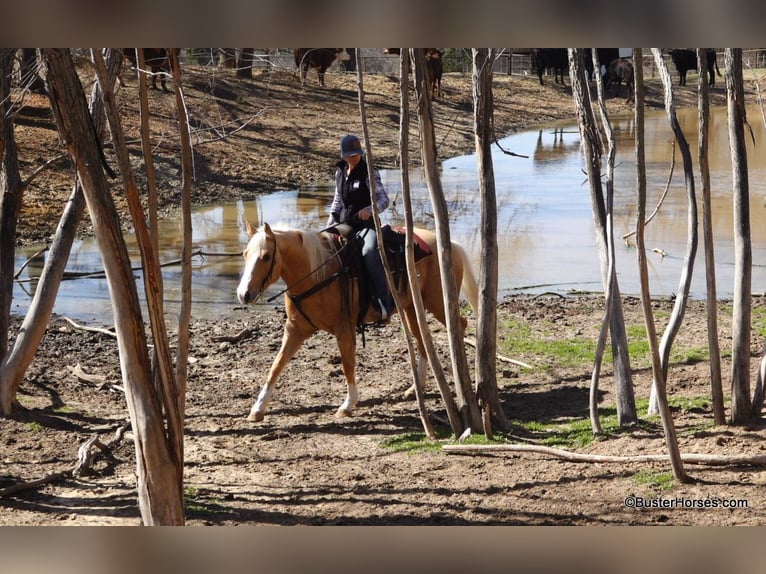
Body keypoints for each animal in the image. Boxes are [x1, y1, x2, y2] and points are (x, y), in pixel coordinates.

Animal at [237, 223, 476, 426]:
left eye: (266, 256)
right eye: (245, 254)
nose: (243, 294)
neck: (317, 273)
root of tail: (450, 245)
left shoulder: (344, 329)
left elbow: (347, 363)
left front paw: (348, 404)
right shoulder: (295, 330)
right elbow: (276, 365)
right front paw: (257, 409)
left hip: (439, 303)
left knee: (459, 325)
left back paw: (461, 375)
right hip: (411, 308)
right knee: (421, 338)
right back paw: (415, 388)